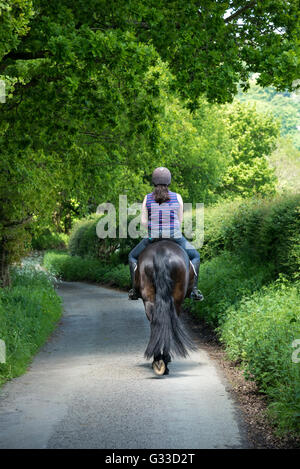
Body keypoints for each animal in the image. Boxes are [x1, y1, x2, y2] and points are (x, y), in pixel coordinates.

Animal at [134, 239, 196, 374]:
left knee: (156, 323)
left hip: (150, 300)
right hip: (176, 301)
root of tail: (161, 252)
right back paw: (164, 362)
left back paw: (158, 360)